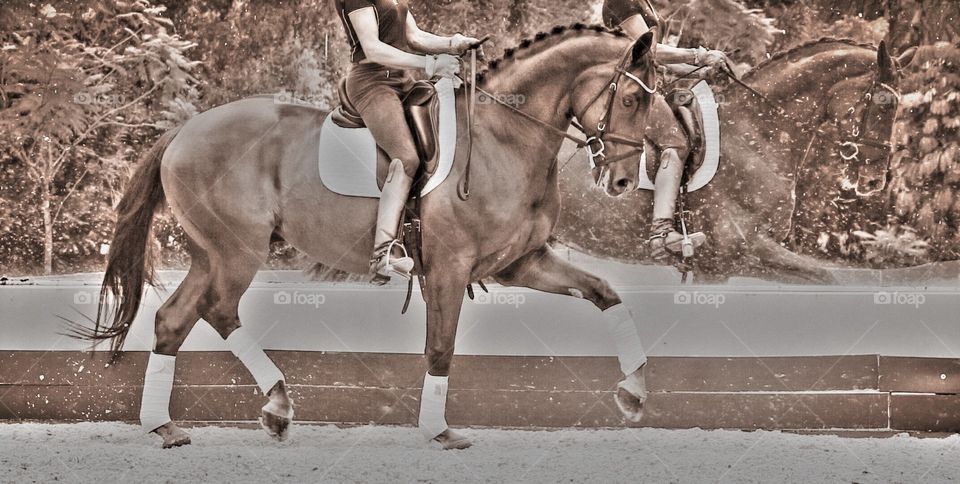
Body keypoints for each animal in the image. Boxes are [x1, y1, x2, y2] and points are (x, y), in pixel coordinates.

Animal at [72, 24, 662, 450]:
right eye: (632, 101)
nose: (623, 181)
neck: (506, 138)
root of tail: (184, 130)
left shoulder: (522, 262)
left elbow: (606, 293)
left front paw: (633, 393)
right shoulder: (449, 267)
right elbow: (440, 347)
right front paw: (439, 431)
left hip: (211, 253)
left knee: (178, 319)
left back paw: (179, 425)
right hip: (237, 251)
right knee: (213, 309)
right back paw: (262, 409)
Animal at [554, 38, 915, 283]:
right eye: (885, 104)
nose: (875, 181)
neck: (755, 137)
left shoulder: (741, 262)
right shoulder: (728, 260)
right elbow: (830, 276)